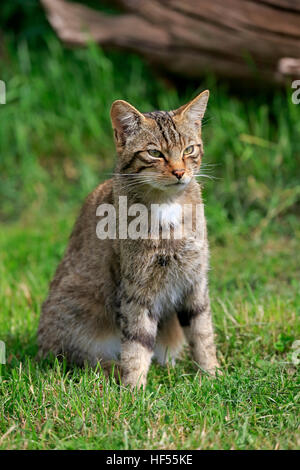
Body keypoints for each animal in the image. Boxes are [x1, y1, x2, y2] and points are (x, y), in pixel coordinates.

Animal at [37, 90, 220, 388]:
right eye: (155, 153)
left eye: (189, 150)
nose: (180, 172)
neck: (167, 206)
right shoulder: (136, 288)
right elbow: (136, 342)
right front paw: (134, 389)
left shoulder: (195, 280)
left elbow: (203, 334)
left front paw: (213, 375)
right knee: (79, 361)